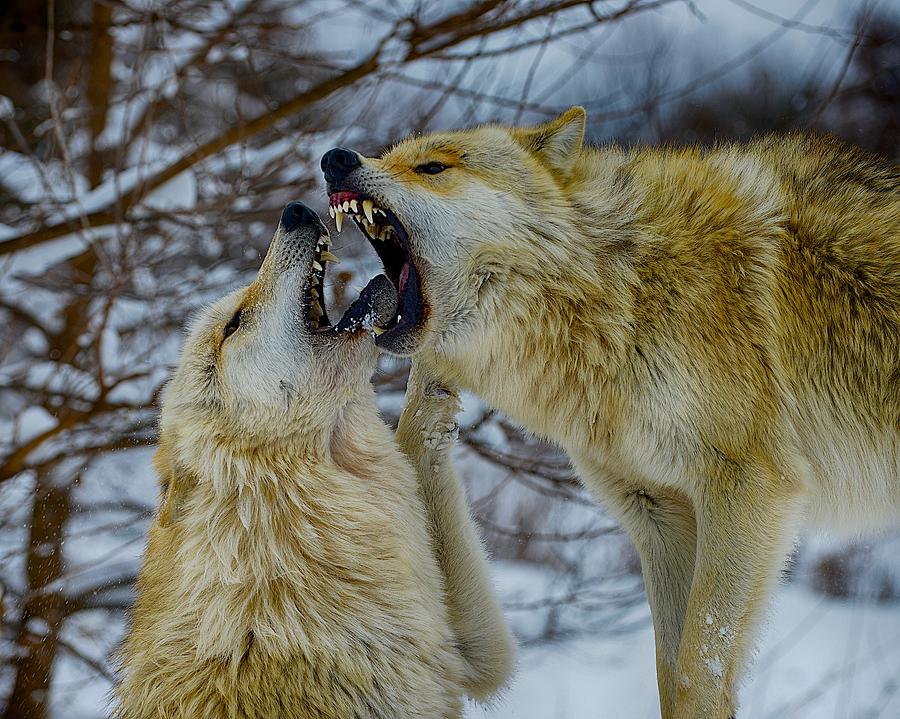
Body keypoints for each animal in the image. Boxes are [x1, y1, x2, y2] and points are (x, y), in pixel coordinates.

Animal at [320, 108, 896, 719]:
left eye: (433, 167)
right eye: (388, 154)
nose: (335, 158)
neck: (619, 288)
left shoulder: (749, 488)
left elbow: (698, 668)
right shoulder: (657, 512)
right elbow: (670, 669)